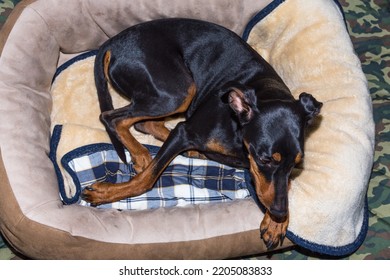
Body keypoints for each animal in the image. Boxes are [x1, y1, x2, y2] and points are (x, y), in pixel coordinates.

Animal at [80, 18, 322, 248]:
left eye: (297, 165)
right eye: (265, 159)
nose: (279, 212)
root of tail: (112, 43)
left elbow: (284, 185)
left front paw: (276, 224)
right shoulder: (183, 131)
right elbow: (147, 179)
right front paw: (105, 194)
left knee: (144, 124)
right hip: (179, 91)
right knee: (112, 118)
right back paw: (142, 155)